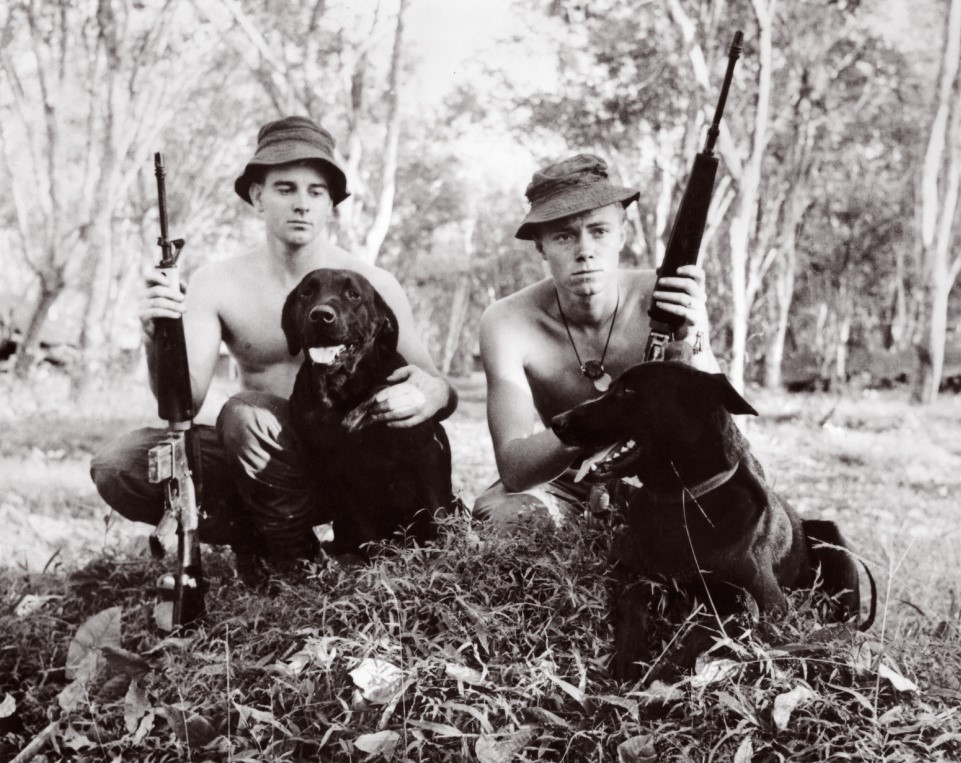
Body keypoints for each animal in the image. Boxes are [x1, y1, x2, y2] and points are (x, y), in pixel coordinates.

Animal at [282, 268, 454, 556]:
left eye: (353, 294)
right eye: (307, 292)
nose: (321, 315)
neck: (343, 392)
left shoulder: (426, 453)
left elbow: (438, 513)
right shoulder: (342, 474)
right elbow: (367, 531)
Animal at [548, 346, 872, 680]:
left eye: (627, 391)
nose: (556, 421)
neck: (684, 500)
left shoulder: (766, 604)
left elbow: (706, 631)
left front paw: (662, 670)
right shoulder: (625, 567)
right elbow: (632, 605)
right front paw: (631, 655)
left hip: (832, 539)